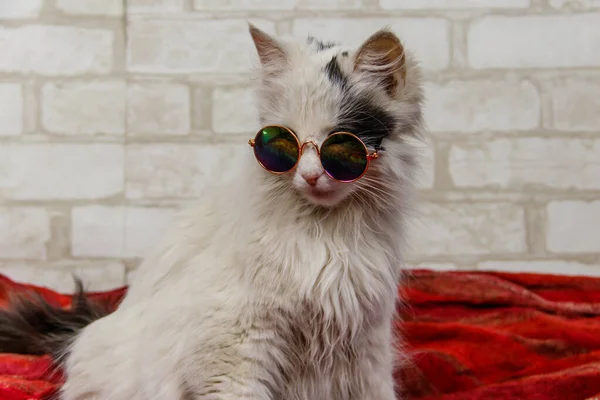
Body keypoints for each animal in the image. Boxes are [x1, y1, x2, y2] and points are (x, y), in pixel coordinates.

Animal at [0, 25, 424, 400]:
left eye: (340, 147)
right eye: (281, 143)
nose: (309, 175)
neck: (326, 233)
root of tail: (84, 331)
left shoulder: (366, 344)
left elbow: (377, 391)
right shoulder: (238, 342)